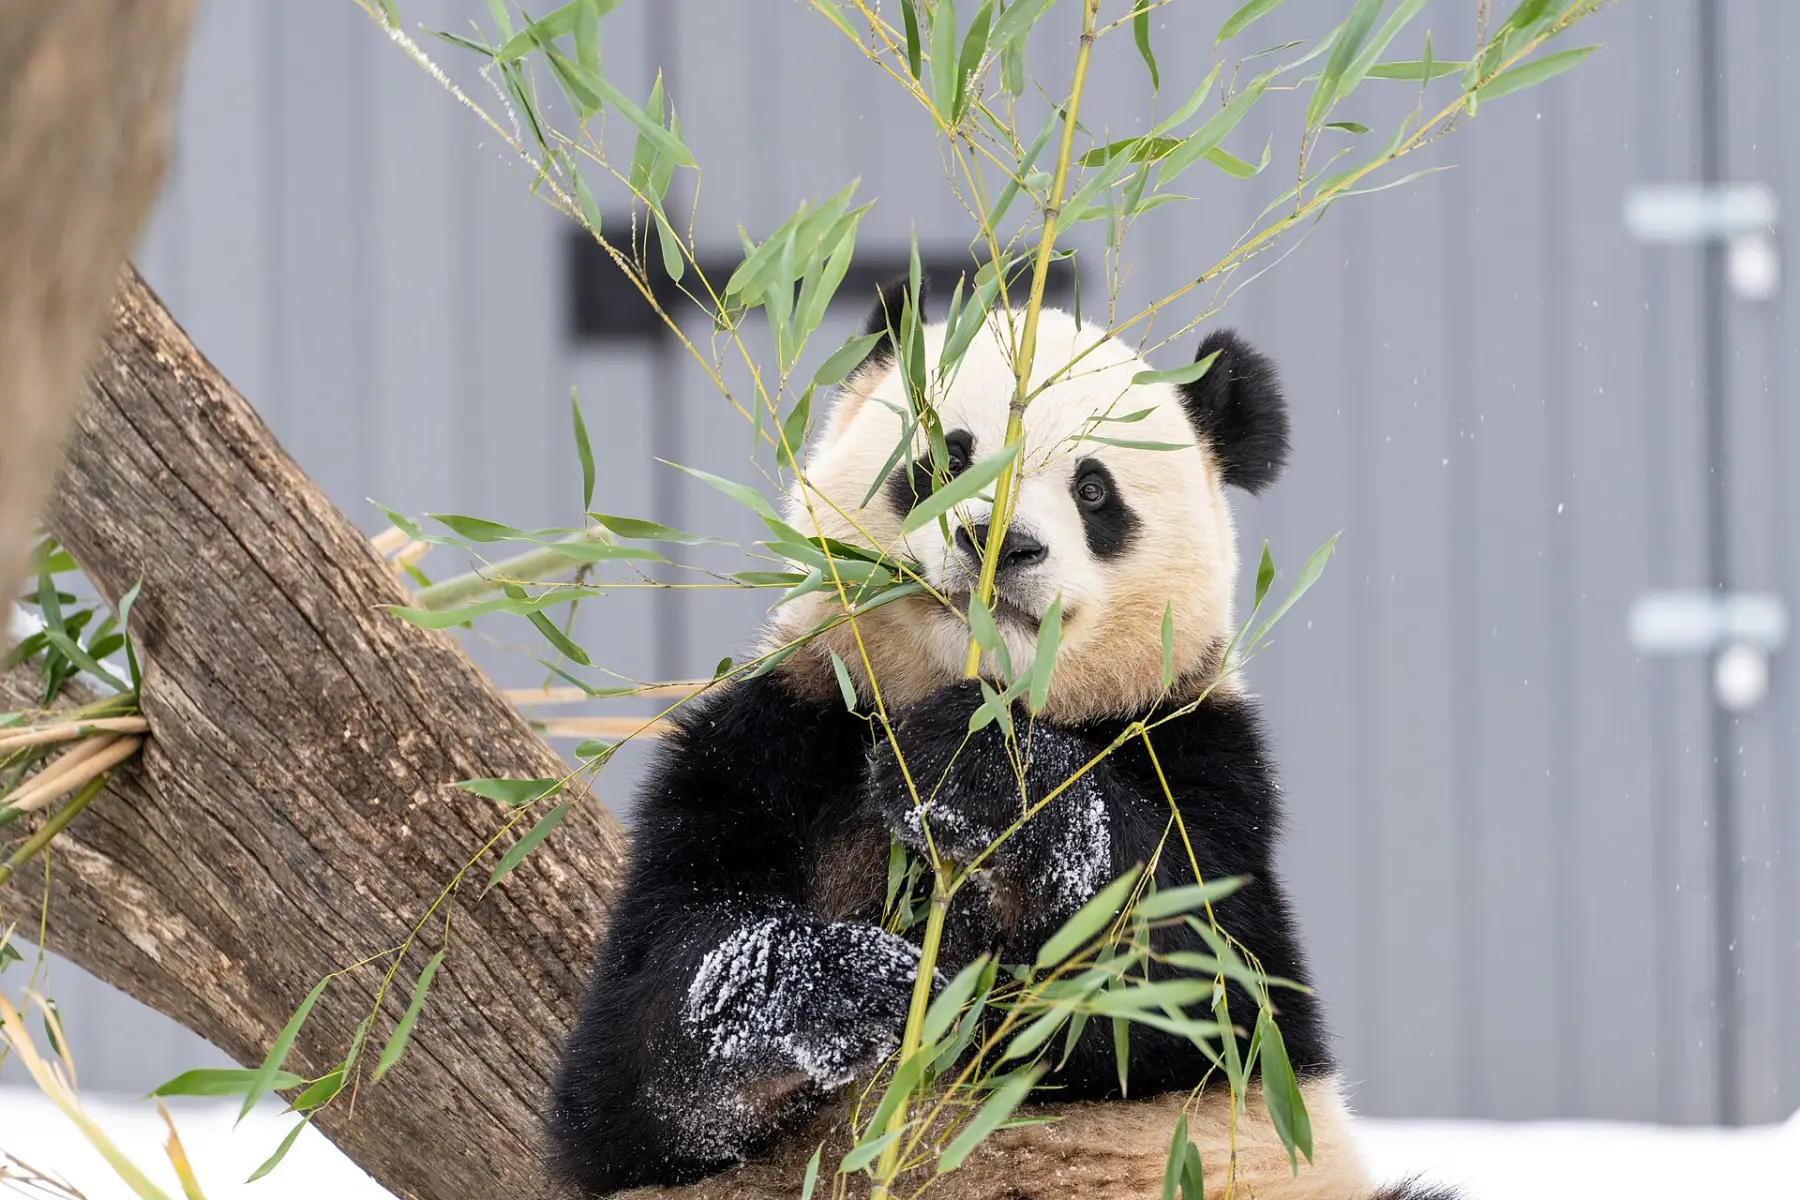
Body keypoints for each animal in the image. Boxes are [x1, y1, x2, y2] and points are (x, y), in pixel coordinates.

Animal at [546, 282, 1455, 1200]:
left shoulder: (1199, 756)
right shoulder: (780, 740)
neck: (976, 685)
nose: (999, 543)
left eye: (1094, 491)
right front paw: (841, 988)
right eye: (948, 456)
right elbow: (633, 1068)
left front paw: (980, 776)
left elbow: (1191, 979)